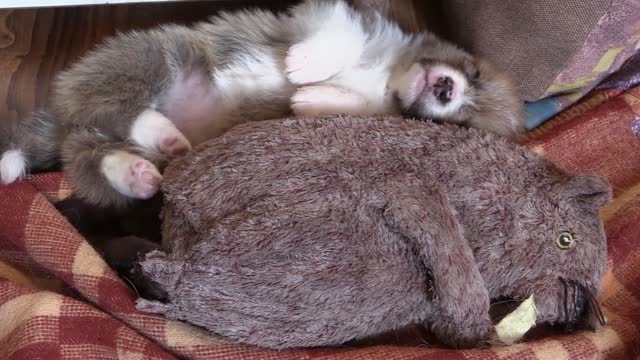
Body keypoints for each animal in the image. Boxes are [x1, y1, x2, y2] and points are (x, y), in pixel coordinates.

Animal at [0, 0, 524, 207]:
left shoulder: (375, 108)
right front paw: (305, 66)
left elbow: (350, 107)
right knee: (108, 112)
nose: (447, 91)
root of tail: (63, 114)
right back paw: (153, 131)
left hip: (105, 134)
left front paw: (312, 95)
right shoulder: (339, 18)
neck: (388, 77)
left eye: (459, 124)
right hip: (153, 59)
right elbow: (341, 39)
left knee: (93, 154)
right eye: (474, 72)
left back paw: (144, 163)